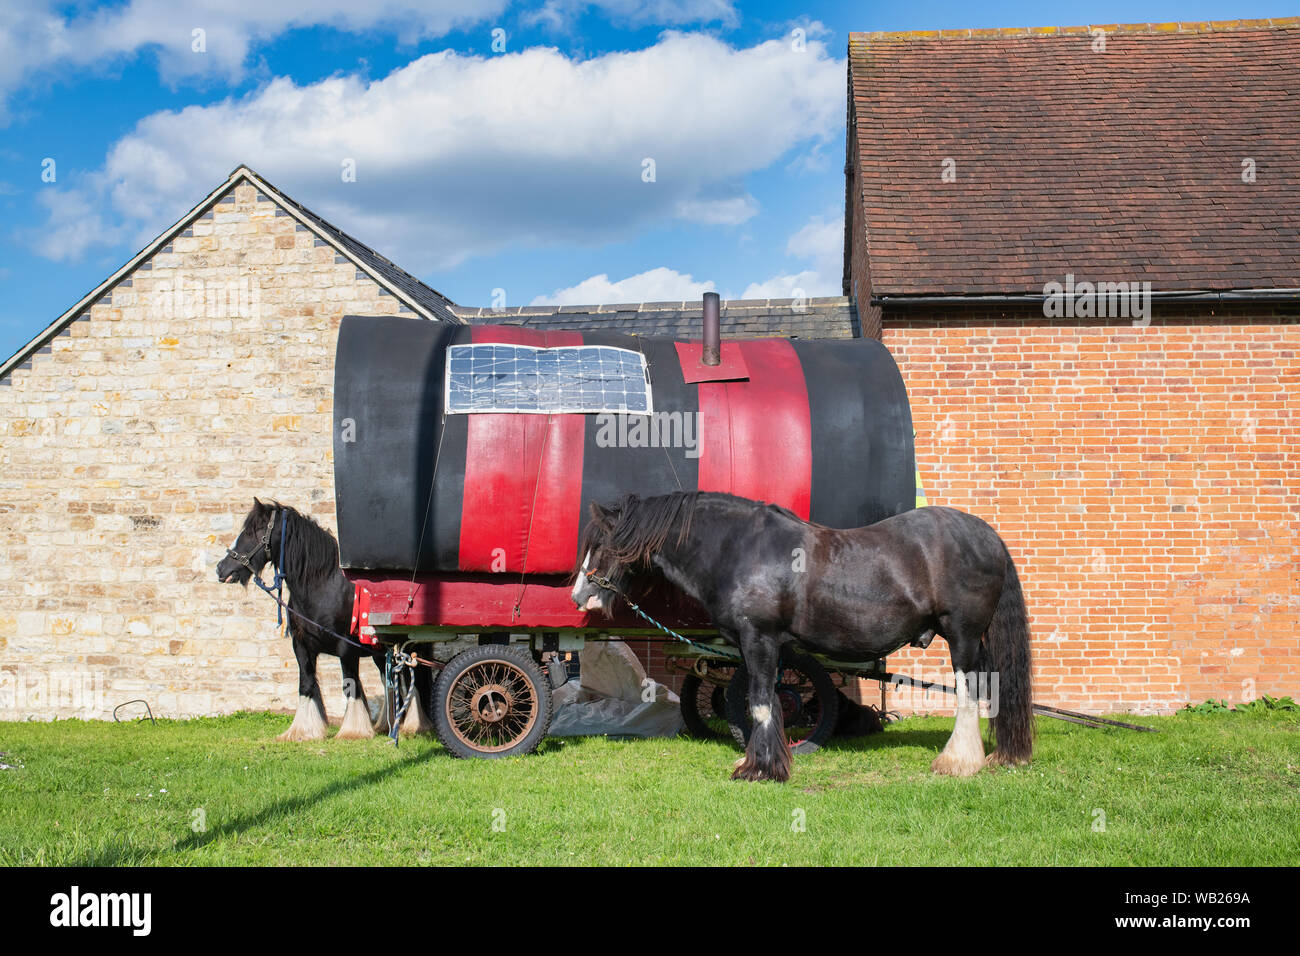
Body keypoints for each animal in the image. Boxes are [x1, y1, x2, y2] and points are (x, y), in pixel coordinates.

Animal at [216, 498, 433, 741]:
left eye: (252, 532)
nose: (221, 568)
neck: (323, 587)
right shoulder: (301, 646)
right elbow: (306, 684)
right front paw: (304, 730)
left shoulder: (346, 649)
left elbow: (351, 685)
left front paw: (353, 730)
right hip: (381, 650)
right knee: (390, 680)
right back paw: (386, 725)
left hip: (410, 646)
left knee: (410, 678)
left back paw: (414, 725)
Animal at [570, 492, 1033, 782]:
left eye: (603, 544)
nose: (579, 596)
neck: (739, 549)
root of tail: (986, 535)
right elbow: (769, 701)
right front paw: (764, 760)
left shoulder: (759, 638)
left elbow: (759, 702)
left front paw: (759, 770)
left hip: (963, 636)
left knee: (970, 691)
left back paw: (958, 762)